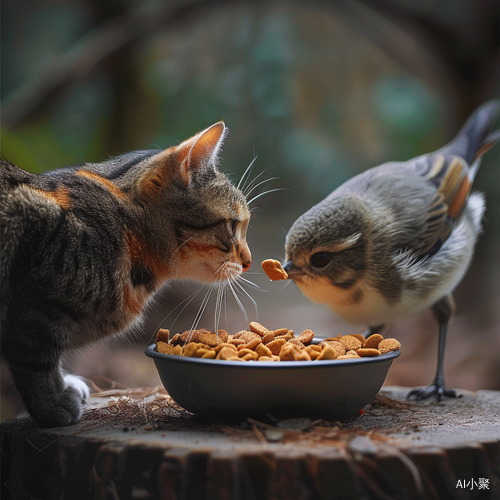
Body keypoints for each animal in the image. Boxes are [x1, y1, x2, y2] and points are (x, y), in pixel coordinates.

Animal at [0, 123, 250, 428]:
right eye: (233, 225)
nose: (249, 262)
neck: (127, 229)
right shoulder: (34, 298)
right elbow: (35, 356)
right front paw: (50, 403)